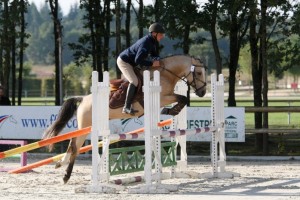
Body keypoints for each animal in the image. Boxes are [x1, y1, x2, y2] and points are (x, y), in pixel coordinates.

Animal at [42, 54, 206, 183]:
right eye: (198, 73)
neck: (166, 74)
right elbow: (182, 98)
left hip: (86, 126)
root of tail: (82, 99)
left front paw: (172, 110)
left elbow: (182, 98)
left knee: (72, 143)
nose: (202, 92)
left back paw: (60, 164)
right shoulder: (161, 98)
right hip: (86, 125)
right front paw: (172, 109)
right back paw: (66, 176)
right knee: (76, 147)